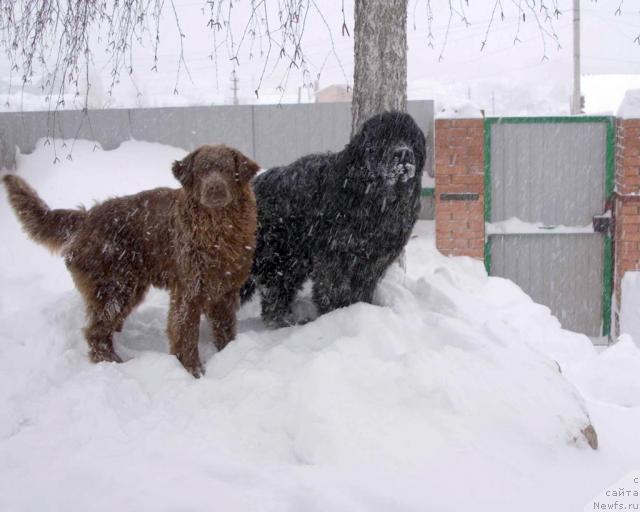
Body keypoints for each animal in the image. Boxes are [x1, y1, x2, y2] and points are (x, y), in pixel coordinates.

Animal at [3, 144, 258, 376]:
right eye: (202, 170)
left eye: (227, 169)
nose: (215, 187)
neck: (217, 230)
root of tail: (87, 217)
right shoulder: (188, 290)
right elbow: (185, 334)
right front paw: (192, 370)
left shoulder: (225, 289)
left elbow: (225, 328)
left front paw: (229, 353)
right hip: (113, 287)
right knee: (95, 331)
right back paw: (112, 363)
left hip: (129, 287)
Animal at [242, 111, 428, 328]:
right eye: (384, 139)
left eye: (411, 140)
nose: (404, 153)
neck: (375, 201)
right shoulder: (335, 256)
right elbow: (333, 290)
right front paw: (336, 314)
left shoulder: (372, 262)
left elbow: (361, 290)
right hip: (277, 257)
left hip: (291, 262)